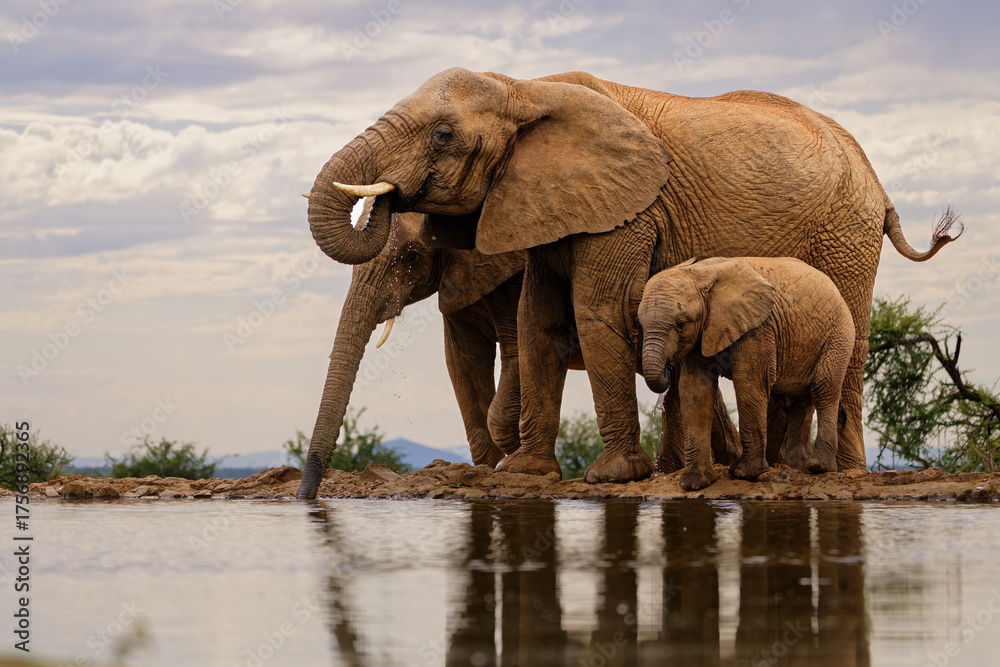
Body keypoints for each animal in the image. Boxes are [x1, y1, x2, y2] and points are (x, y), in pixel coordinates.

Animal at [296, 198, 525, 499]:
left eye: (412, 257)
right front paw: (489, 471)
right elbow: (464, 361)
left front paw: (513, 467)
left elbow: (518, 350)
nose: (305, 496)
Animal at [638, 257, 855, 490]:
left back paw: (819, 467)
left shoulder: (759, 328)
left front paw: (744, 474)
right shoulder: (701, 335)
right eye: (640, 324)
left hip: (839, 335)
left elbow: (749, 383)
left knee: (823, 388)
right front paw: (695, 482)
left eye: (681, 324)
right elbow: (694, 391)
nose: (668, 367)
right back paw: (796, 467)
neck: (700, 273)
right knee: (800, 402)